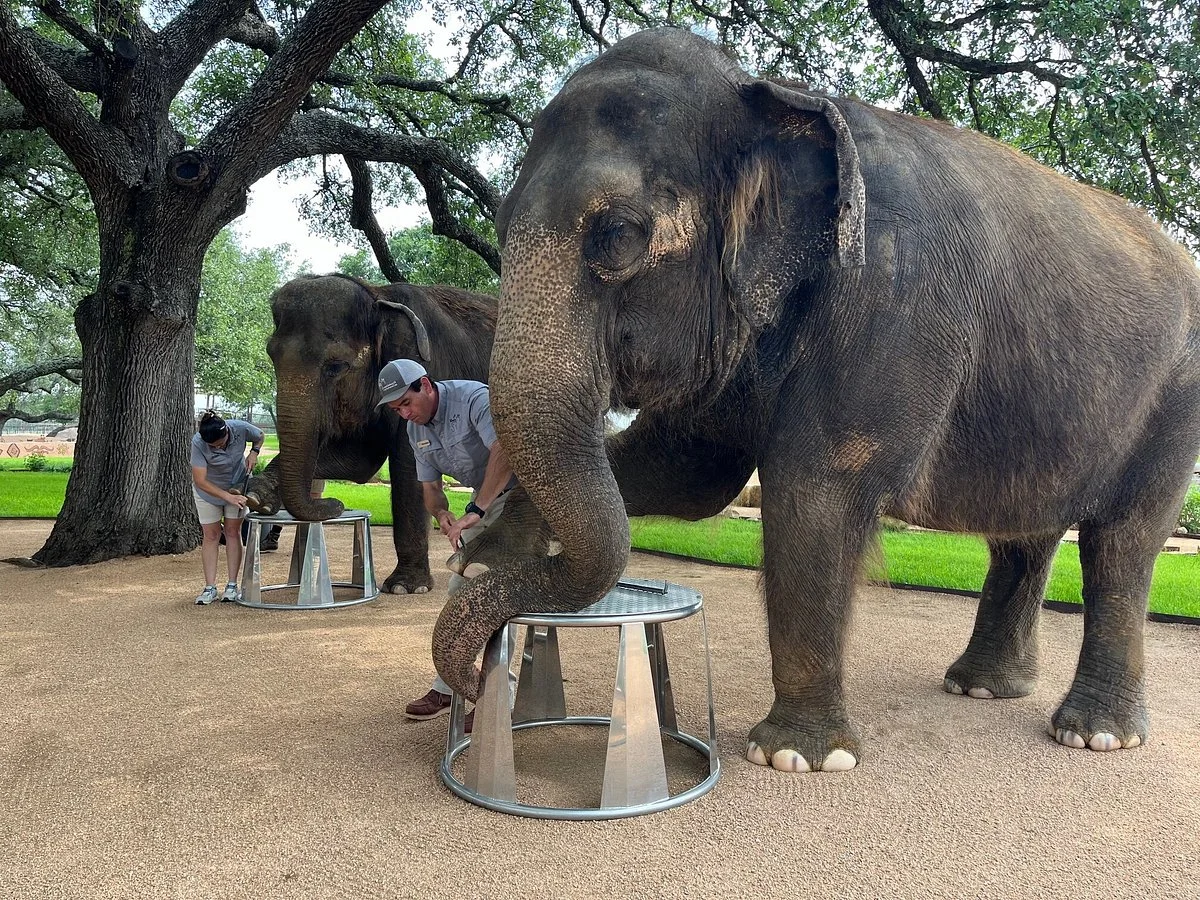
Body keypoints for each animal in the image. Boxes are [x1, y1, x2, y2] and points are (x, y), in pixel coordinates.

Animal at [246, 273, 496, 594]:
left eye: (336, 366)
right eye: (271, 355)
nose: (335, 503)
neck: (378, 296)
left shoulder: (426, 369)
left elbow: (409, 467)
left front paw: (405, 587)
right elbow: (359, 460)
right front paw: (257, 496)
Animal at [431, 27, 1200, 773]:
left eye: (617, 234)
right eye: (500, 218)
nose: (471, 683)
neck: (776, 96)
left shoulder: (895, 302)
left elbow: (816, 489)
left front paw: (797, 756)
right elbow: (688, 474)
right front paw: (486, 559)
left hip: (1177, 399)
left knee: (1123, 541)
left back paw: (1095, 734)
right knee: (1028, 536)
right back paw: (982, 687)